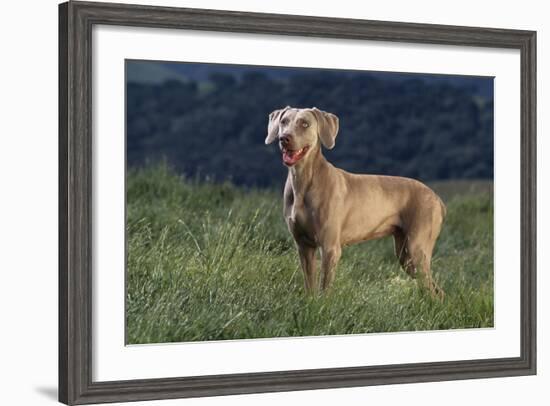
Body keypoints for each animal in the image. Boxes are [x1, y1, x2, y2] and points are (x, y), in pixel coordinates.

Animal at [266, 107, 448, 298]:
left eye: (304, 124)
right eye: (284, 121)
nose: (284, 138)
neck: (303, 181)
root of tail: (437, 198)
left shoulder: (330, 248)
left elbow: (325, 289)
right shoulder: (303, 246)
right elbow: (310, 286)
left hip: (416, 249)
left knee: (434, 291)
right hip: (405, 255)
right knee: (436, 290)